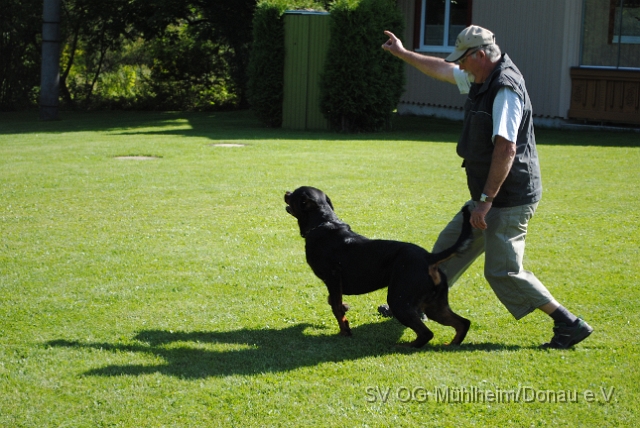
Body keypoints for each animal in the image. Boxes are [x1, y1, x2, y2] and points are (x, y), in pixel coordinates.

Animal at [282, 187, 472, 348]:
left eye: (295, 194)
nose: (286, 192)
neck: (323, 224)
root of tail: (429, 257)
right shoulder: (335, 284)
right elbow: (335, 303)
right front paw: (345, 309)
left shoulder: (333, 278)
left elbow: (335, 307)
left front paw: (345, 330)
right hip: (434, 305)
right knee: (463, 323)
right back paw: (451, 345)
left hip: (399, 300)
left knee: (427, 333)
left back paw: (405, 347)